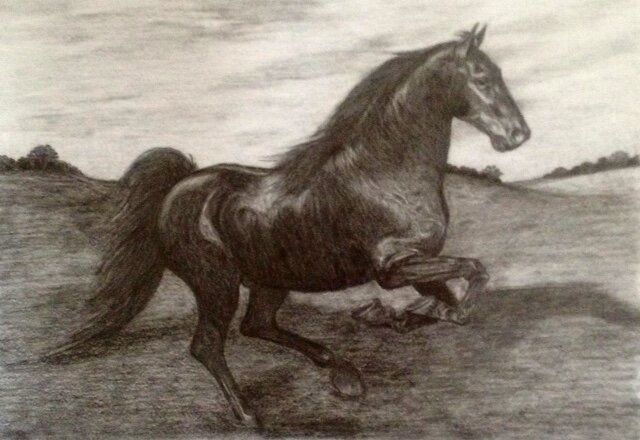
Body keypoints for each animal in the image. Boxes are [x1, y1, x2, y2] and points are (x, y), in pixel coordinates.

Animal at [52, 24, 530, 427]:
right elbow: (473, 272)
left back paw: (342, 372)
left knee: (257, 326)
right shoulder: (394, 267)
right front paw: (424, 313)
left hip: (269, 279)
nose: (518, 135)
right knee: (209, 345)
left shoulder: (420, 261)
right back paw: (249, 414)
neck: (383, 173)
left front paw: (400, 317)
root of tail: (180, 186)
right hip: (216, 282)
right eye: (482, 77)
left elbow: (445, 298)